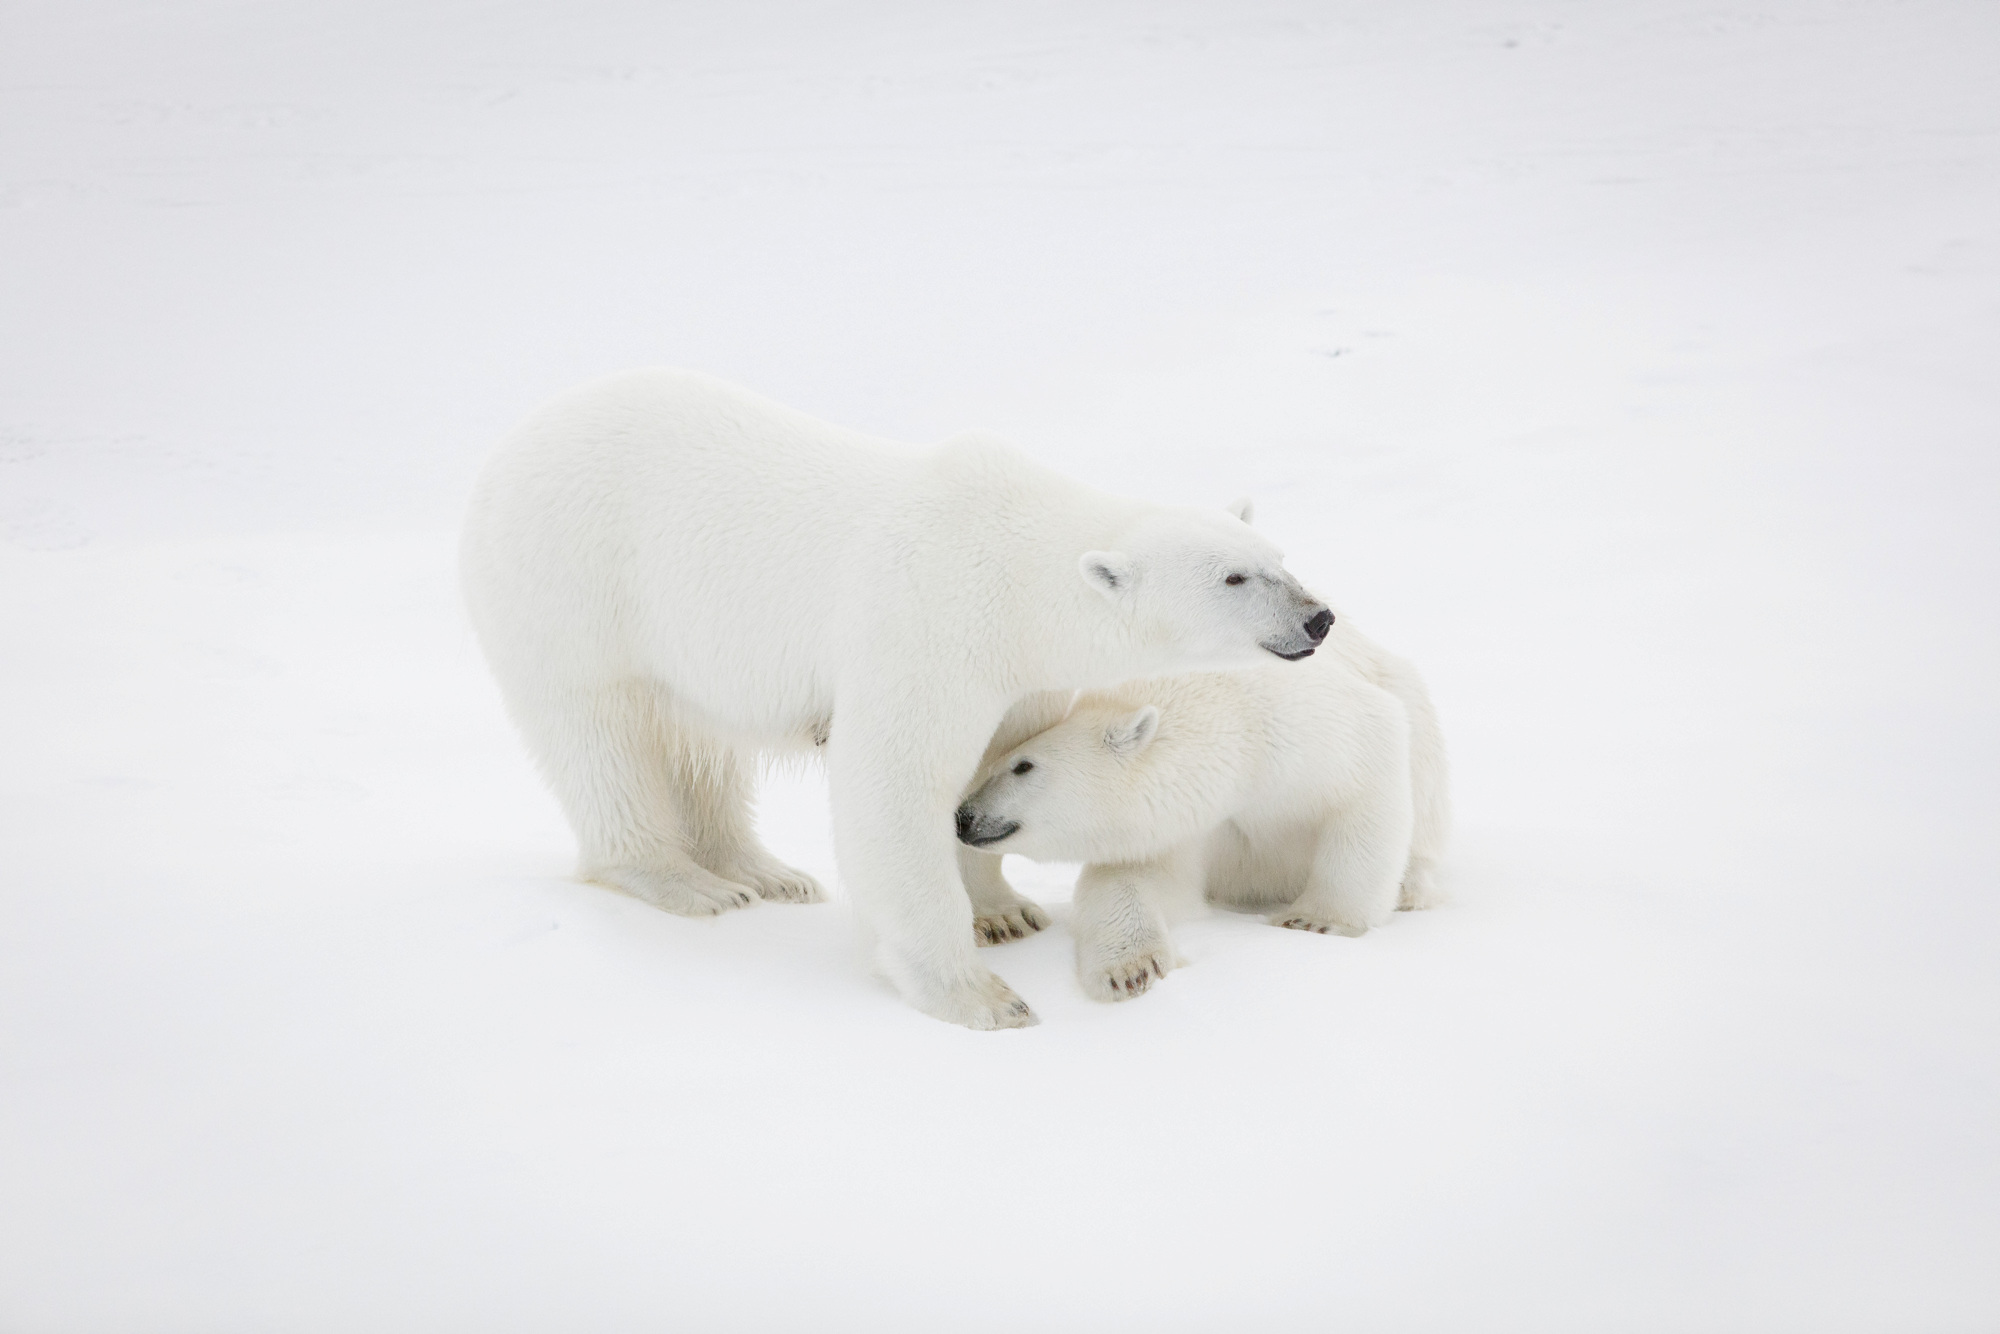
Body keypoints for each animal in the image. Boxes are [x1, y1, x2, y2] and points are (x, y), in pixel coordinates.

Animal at [462, 374, 1336, 1032]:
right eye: (1233, 577)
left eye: (1279, 556)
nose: (1319, 618)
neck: (1015, 569)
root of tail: (507, 449)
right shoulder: (926, 622)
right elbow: (894, 784)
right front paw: (980, 995)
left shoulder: (1018, 672)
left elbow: (987, 767)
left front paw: (1004, 912)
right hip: (575, 581)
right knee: (599, 732)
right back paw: (685, 882)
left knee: (705, 745)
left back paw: (763, 873)